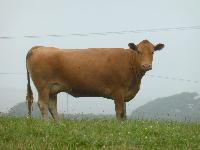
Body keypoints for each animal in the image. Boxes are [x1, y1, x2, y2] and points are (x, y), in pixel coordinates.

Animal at [25, 39, 165, 120]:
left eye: (153, 52)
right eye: (138, 51)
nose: (146, 65)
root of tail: (39, 47)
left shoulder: (124, 93)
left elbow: (124, 114)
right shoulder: (118, 91)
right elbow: (120, 112)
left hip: (53, 88)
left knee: (52, 107)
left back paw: (59, 126)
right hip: (43, 86)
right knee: (43, 105)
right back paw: (47, 125)